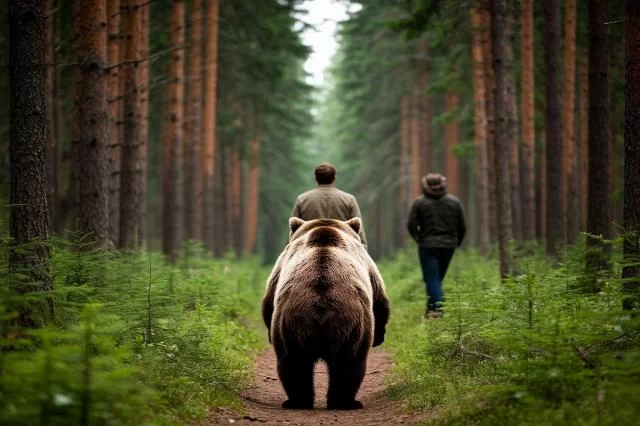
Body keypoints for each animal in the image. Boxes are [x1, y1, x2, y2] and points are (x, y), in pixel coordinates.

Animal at [261, 217, 390, 410]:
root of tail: (321, 306)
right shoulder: (369, 267)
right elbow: (380, 300)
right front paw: (379, 336)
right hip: (352, 324)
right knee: (349, 362)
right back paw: (343, 402)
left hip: (292, 324)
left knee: (295, 362)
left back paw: (302, 401)